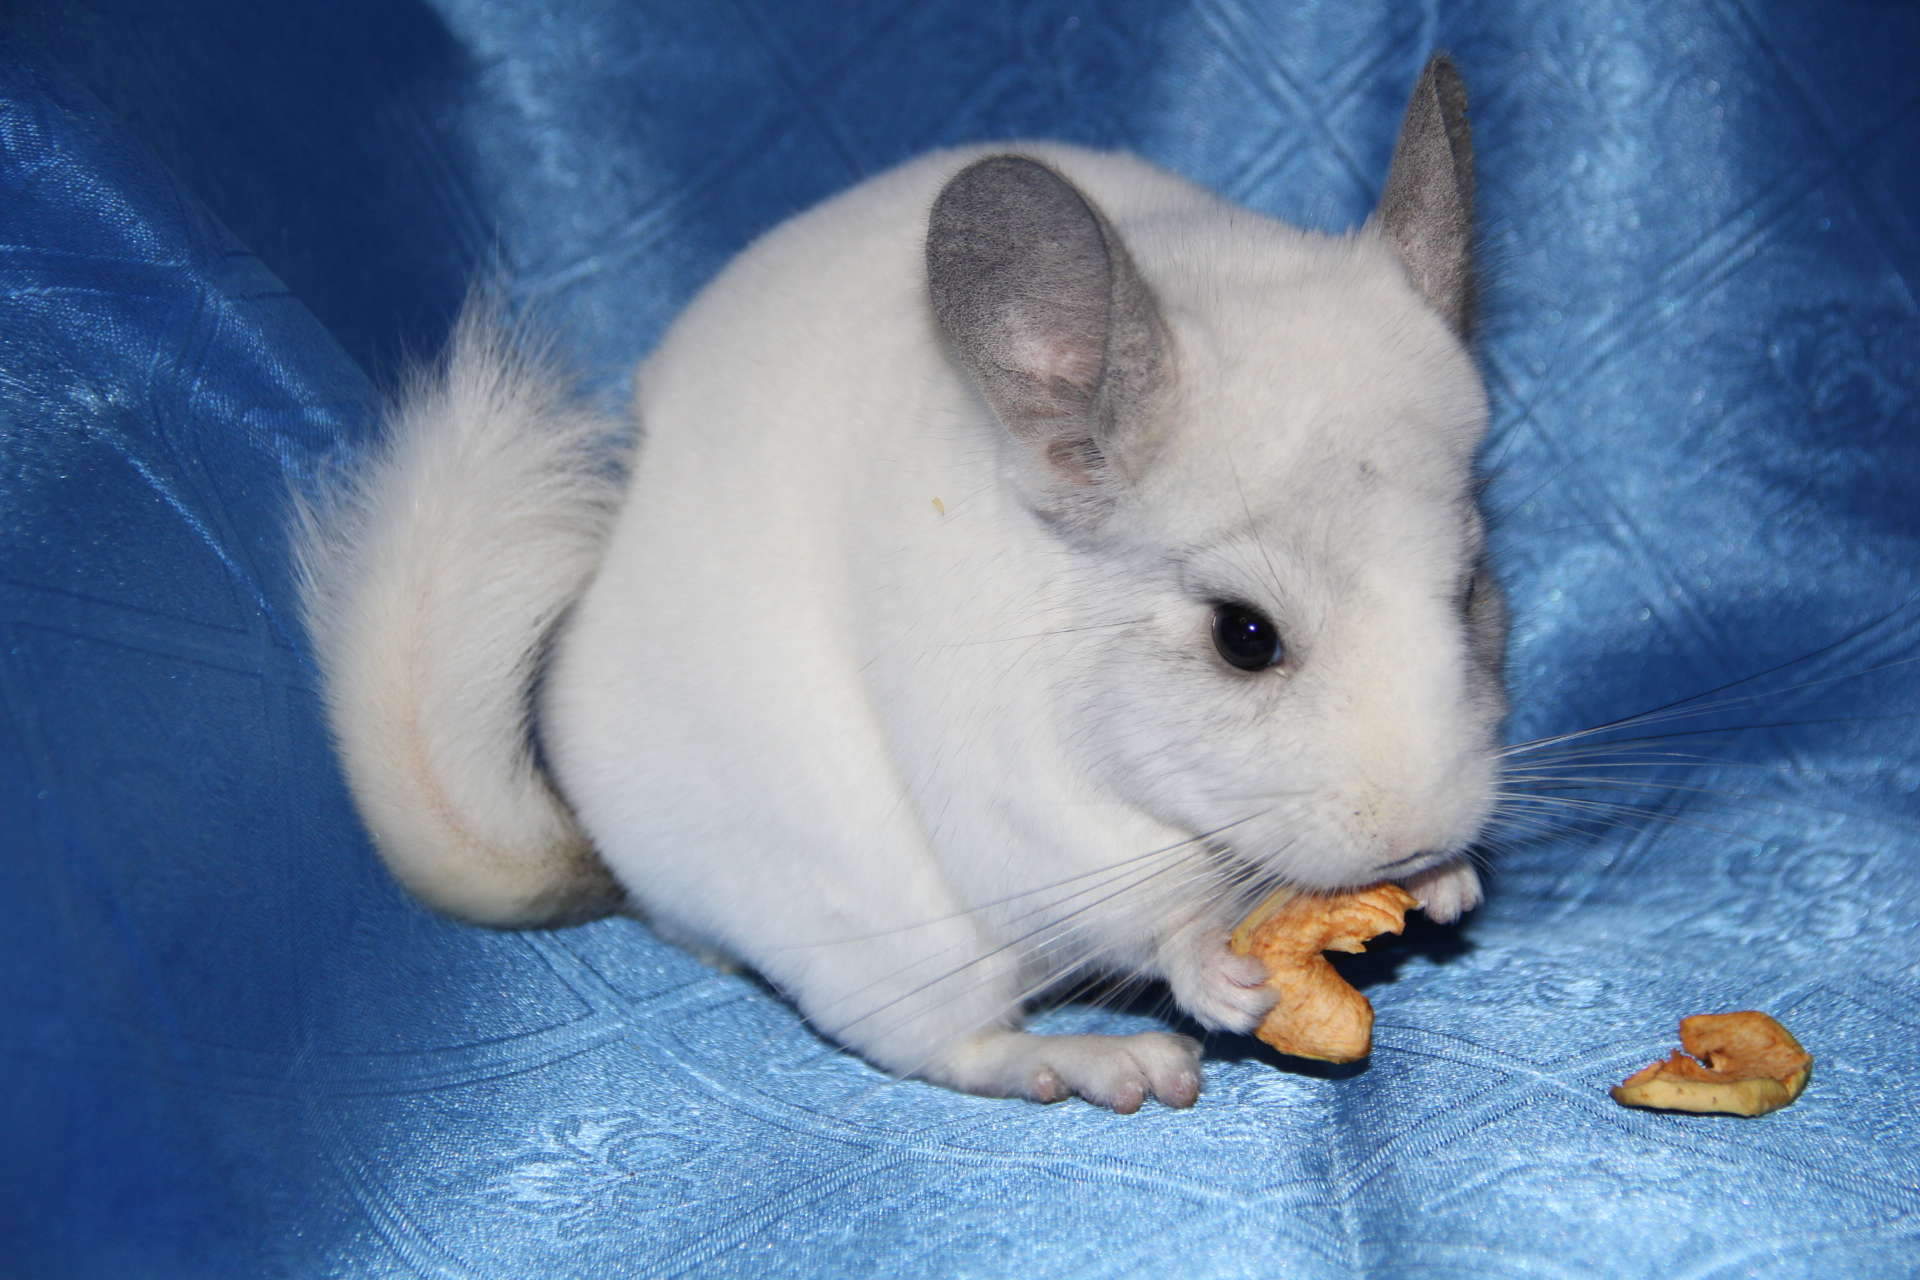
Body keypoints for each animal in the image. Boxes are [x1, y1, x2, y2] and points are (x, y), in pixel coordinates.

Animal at [296, 54, 1506, 1112]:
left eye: (1469, 589)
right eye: (1243, 634)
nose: (1413, 833)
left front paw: (1452, 884)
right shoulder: (1030, 810)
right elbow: (1148, 909)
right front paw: (1216, 962)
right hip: (885, 924)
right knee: (945, 1044)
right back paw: (1107, 1063)